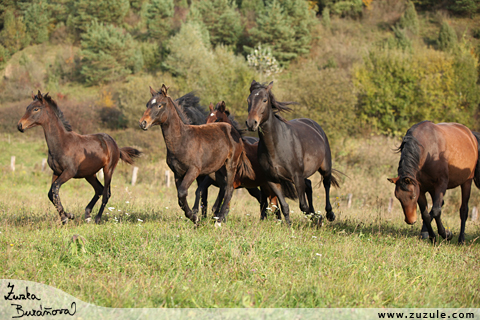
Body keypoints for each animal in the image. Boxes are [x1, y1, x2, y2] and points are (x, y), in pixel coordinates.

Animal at [16, 90, 141, 224]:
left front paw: (66, 217)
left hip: (108, 169)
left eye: (36, 109)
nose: (20, 125)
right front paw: (68, 215)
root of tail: (115, 145)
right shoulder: (56, 172)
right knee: (99, 189)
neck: (62, 143)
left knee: (106, 193)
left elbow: (55, 189)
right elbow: (51, 193)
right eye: (27, 107)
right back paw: (87, 215)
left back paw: (97, 219)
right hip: (89, 174)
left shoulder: (69, 172)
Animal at [139, 85, 255, 225]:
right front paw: (195, 218)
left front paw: (195, 218)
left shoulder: (194, 170)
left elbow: (183, 192)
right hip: (216, 172)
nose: (143, 123)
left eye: (160, 105)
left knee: (229, 190)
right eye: (147, 104)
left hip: (230, 166)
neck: (183, 139)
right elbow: (181, 197)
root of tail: (236, 133)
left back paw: (219, 219)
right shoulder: (177, 173)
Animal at [246, 80, 340, 225]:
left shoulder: (296, 177)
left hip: (325, 167)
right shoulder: (273, 180)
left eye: (264, 100)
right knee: (309, 185)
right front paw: (289, 226)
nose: (251, 123)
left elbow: (303, 206)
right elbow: (284, 206)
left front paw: (317, 219)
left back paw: (329, 214)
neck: (275, 147)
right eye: (248, 100)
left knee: (326, 184)